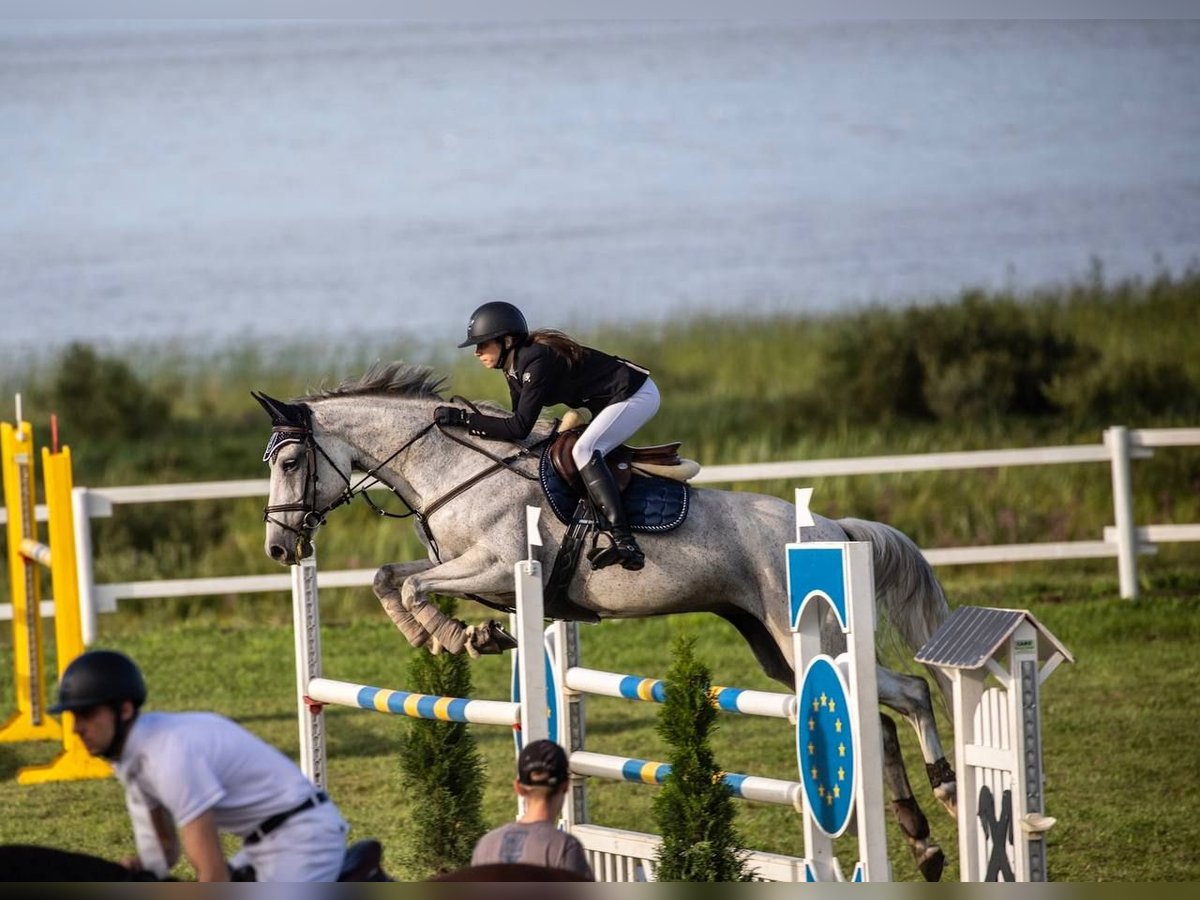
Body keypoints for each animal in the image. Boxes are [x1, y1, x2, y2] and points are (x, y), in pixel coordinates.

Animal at [260, 362, 955, 883]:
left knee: (907, 693)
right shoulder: (463, 568)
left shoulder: (497, 567)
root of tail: (831, 528)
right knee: (878, 716)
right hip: (775, 651)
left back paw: (945, 793)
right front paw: (452, 636)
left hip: (802, 634)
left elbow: (409, 584)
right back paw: (923, 839)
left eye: (290, 463)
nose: (278, 548)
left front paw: (456, 636)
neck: (454, 471)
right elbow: (389, 577)